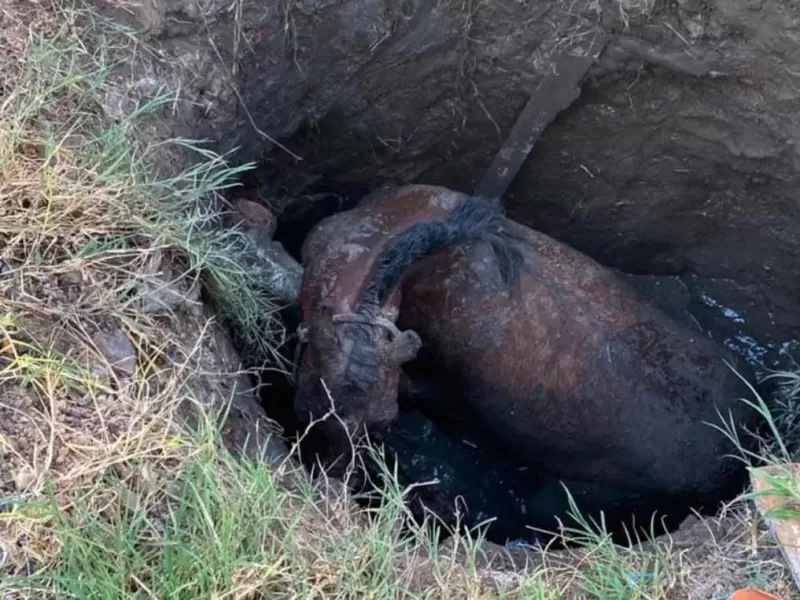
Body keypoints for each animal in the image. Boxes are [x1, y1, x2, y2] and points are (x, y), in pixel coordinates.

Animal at [292, 184, 756, 536]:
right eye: (312, 409)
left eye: (383, 423)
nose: (334, 484)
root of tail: (737, 450)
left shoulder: (451, 393)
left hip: (564, 501)